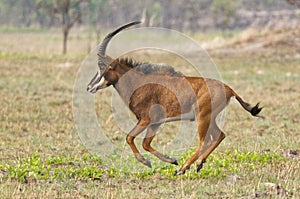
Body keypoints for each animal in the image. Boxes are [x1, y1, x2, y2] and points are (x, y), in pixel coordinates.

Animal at [86, 21, 262, 175]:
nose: (89, 87)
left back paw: (183, 168)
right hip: (209, 118)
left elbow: (130, 137)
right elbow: (145, 143)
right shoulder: (155, 123)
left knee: (205, 141)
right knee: (219, 135)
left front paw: (149, 162)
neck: (138, 82)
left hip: (202, 117)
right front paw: (170, 160)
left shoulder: (146, 119)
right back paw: (198, 164)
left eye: (103, 68)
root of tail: (228, 89)